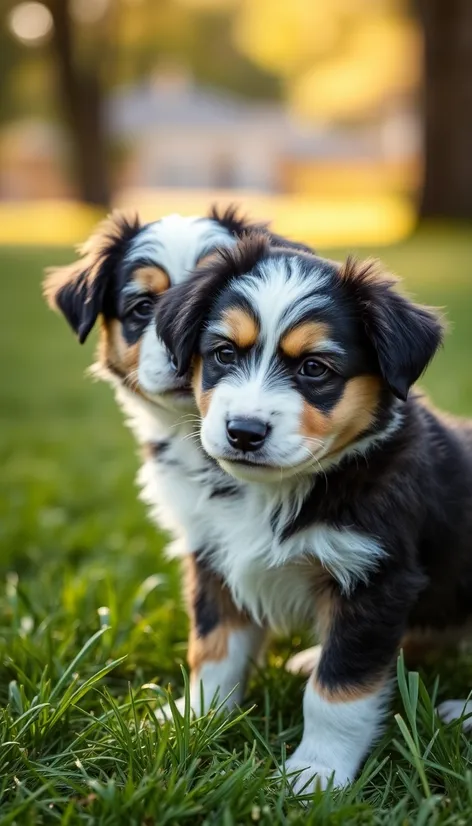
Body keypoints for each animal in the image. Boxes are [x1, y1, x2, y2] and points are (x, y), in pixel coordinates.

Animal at [157, 232, 472, 792]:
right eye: (223, 353)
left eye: (314, 368)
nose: (244, 431)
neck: (282, 491)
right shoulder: (216, 561)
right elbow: (213, 653)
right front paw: (194, 720)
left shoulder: (373, 578)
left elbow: (338, 692)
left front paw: (315, 775)